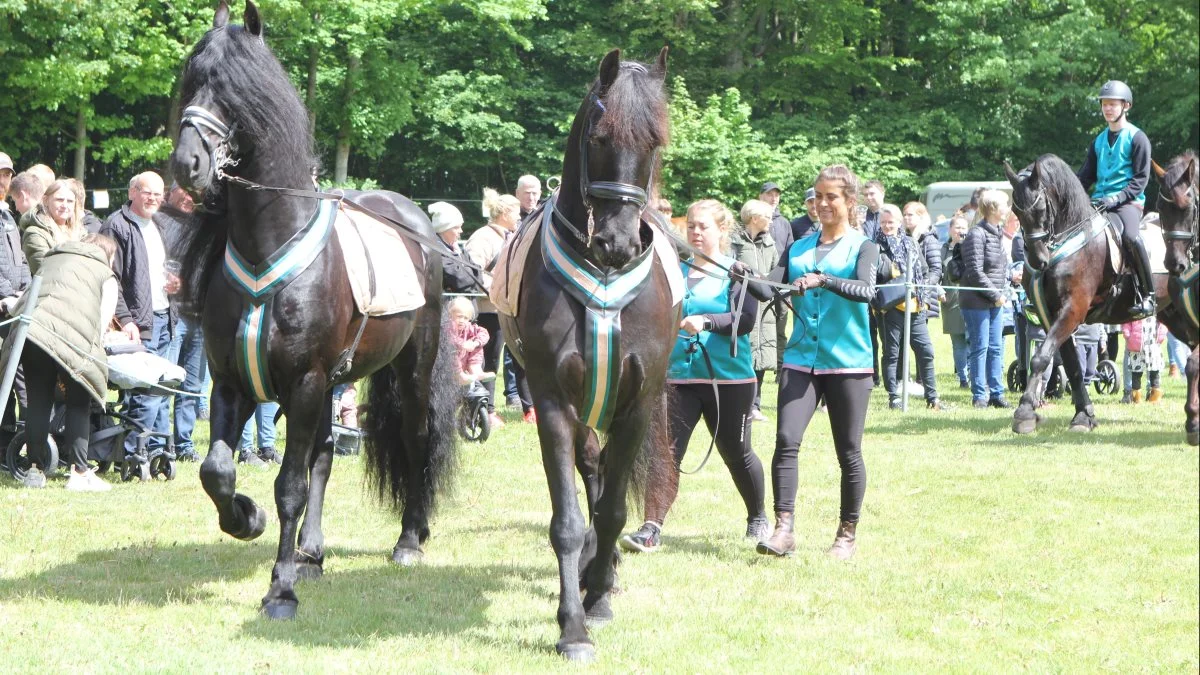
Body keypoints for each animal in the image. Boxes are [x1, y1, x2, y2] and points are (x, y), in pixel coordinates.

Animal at [171, 2, 460, 619]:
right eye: (193, 80)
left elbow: (290, 487)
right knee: (325, 453)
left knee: (415, 439)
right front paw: (246, 519)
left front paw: (280, 589)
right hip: (331, 383)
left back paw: (408, 539)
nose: (188, 163)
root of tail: (421, 228)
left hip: (410, 369)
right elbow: (218, 470)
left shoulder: (303, 382)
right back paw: (312, 553)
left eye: (236, 89)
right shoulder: (233, 382)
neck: (269, 244)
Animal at [496, 49, 676, 658]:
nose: (616, 243)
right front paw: (572, 625)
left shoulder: (637, 405)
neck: (603, 280)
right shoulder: (554, 401)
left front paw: (597, 598)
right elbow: (569, 519)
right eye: (599, 137)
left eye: (656, 141)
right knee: (591, 471)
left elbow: (616, 509)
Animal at [1003, 152, 1200, 437]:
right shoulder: (1052, 315)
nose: (1038, 260)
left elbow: (1041, 357)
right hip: (1174, 315)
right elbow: (1071, 365)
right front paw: (1084, 415)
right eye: (1016, 211)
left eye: (1040, 210)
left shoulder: (1072, 310)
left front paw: (1025, 412)